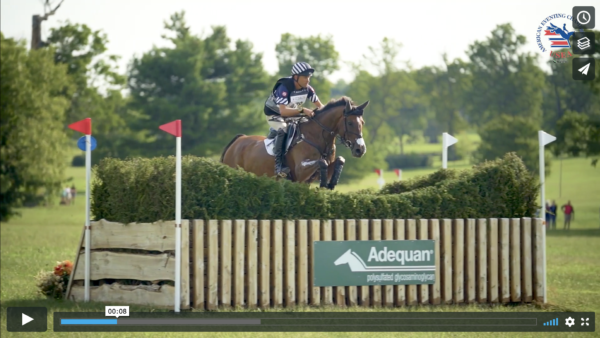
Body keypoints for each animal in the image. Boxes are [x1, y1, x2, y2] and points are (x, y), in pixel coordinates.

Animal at [220, 95, 370, 190]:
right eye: (350, 123)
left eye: (362, 122)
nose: (360, 149)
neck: (317, 137)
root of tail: (239, 139)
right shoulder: (300, 171)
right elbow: (322, 162)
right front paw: (323, 183)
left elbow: (339, 160)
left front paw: (331, 182)